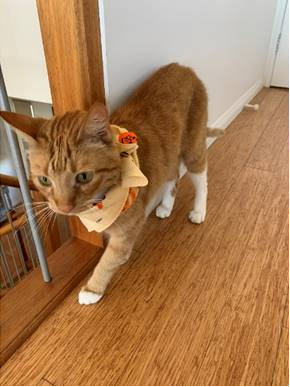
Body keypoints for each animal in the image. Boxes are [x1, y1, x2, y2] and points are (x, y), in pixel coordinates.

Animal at [0, 63, 213, 306]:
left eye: (83, 177)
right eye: (44, 180)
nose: (63, 208)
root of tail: (183, 67)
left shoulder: (126, 232)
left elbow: (108, 260)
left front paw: (92, 289)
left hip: (193, 148)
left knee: (201, 178)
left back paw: (199, 211)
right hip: (170, 155)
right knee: (173, 175)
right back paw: (166, 206)